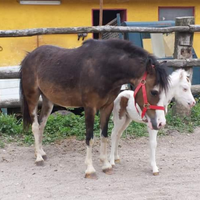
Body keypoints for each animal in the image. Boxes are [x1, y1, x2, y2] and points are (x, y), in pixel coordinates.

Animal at [19, 38, 169, 178]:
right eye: (154, 92)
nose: (161, 123)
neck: (103, 68)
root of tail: (29, 56)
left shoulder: (107, 107)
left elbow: (104, 135)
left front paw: (106, 165)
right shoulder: (90, 108)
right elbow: (89, 138)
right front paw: (90, 169)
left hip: (48, 101)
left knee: (41, 124)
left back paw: (40, 152)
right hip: (32, 97)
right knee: (35, 126)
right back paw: (39, 158)